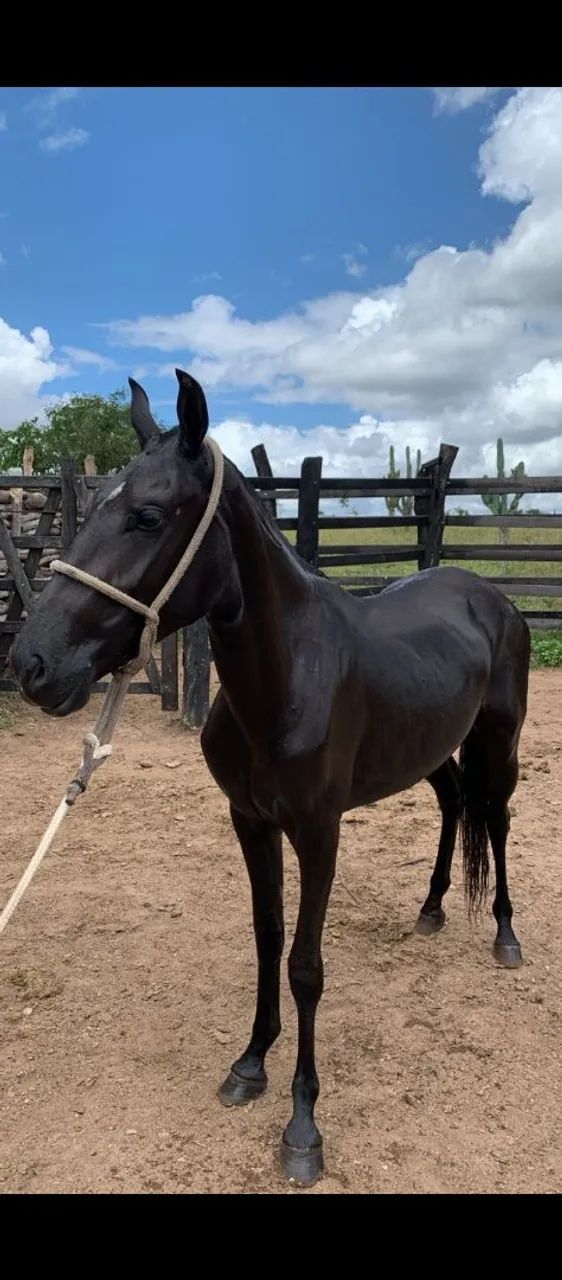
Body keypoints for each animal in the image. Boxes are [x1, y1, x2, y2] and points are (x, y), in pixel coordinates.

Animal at [11, 370, 530, 1187]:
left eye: (147, 516)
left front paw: (303, 1126)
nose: (32, 665)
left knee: (498, 822)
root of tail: (492, 596)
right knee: (454, 806)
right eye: (94, 509)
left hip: (499, 741)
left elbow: (306, 965)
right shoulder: (250, 821)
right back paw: (431, 909)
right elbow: (265, 938)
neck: (286, 677)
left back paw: (505, 936)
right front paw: (251, 1063)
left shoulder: (318, 832)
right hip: (432, 750)